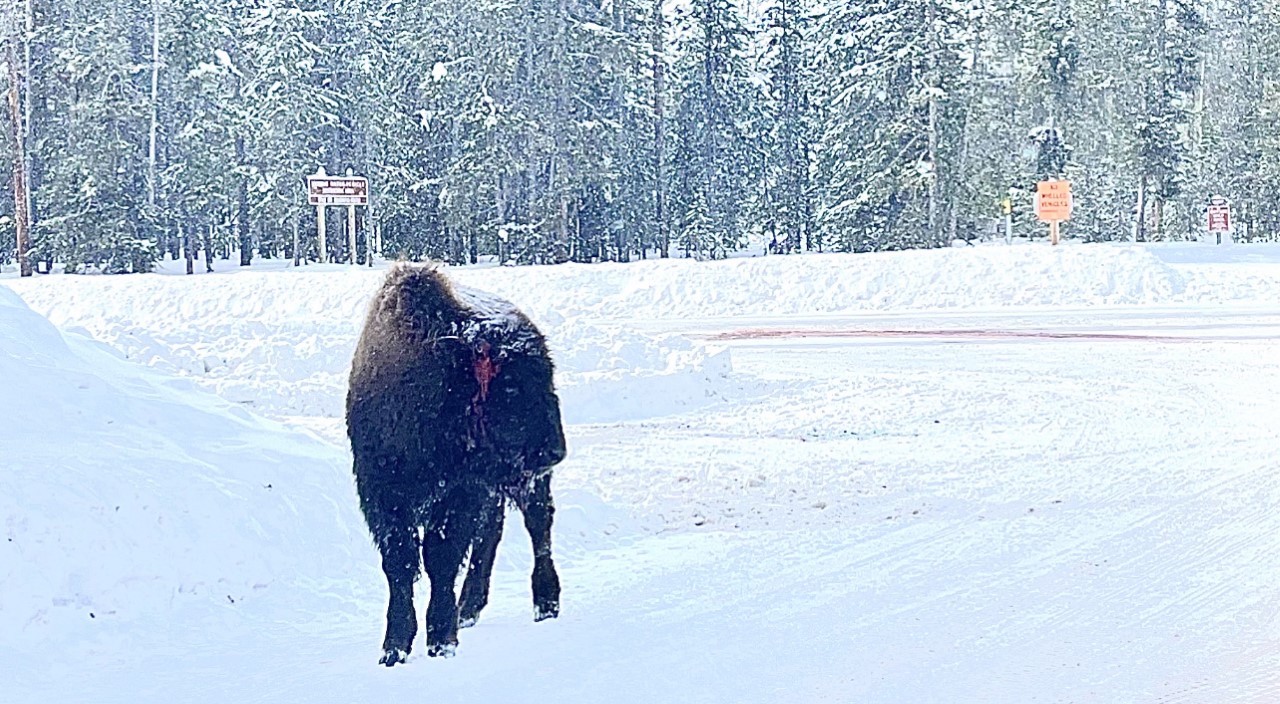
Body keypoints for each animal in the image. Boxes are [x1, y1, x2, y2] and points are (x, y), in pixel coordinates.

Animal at [350, 264, 570, 665]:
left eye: (546, 378)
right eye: (511, 385)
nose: (555, 451)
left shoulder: (457, 494)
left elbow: (440, 559)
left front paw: (441, 641)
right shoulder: (383, 497)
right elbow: (400, 565)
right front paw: (394, 648)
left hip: (526, 482)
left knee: (538, 526)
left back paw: (545, 604)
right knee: (492, 533)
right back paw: (469, 608)